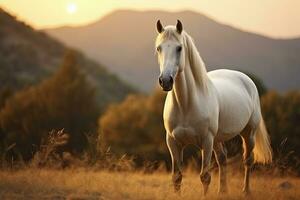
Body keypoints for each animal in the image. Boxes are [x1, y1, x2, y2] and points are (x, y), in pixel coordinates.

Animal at [155, 20, 272, 195]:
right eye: (159, 48)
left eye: (179, 48)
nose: (166, 81)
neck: (186, 105)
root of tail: (246, 79)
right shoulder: (173, 142)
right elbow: (176, 177)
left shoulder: (206, 141)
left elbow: (205, 177)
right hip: (218, 139)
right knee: (223, 159)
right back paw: (222, 191)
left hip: (248, 133)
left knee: (248, 160)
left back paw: (246, 191)